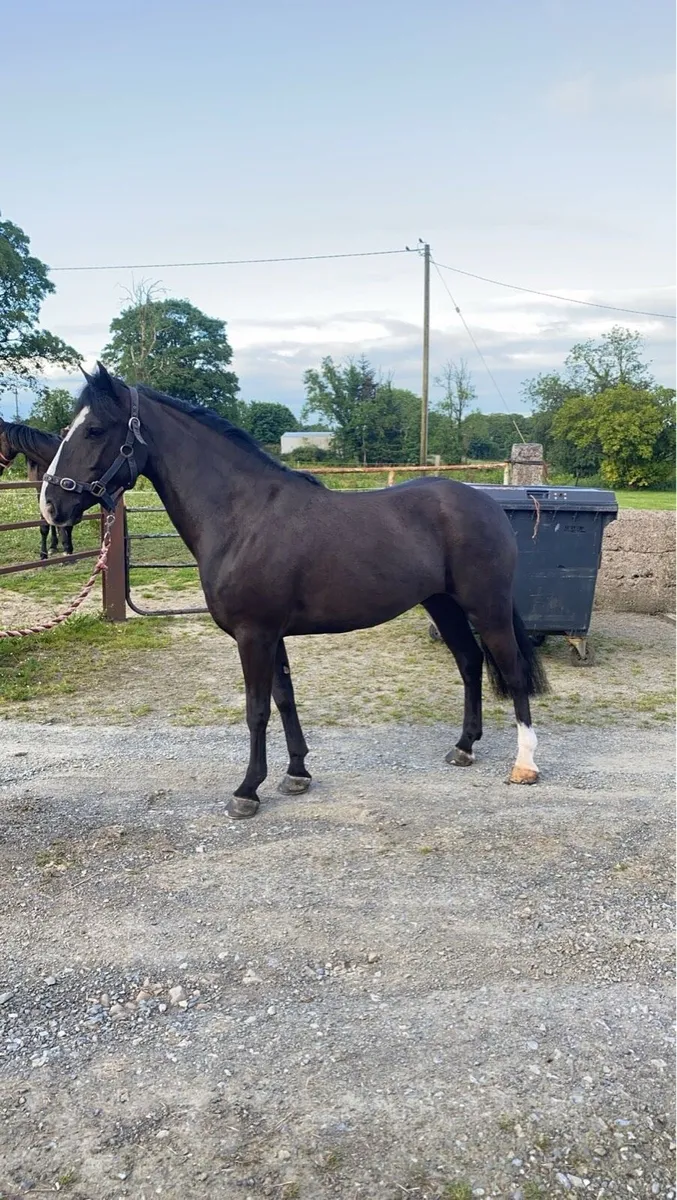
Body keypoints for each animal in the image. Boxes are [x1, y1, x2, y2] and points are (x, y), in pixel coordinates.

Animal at [41, 363, 548, 820]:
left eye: (95, 430)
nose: (50, 505)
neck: (242, 516)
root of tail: (486, 503)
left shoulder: (254, 635)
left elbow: (256, 710)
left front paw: (247, 791)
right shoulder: (272, 634)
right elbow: (284, 699)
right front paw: (297, 774)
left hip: (487, 606)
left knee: (512, 670)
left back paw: (524, 765)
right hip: (442, 605)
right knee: (469, 662)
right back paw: (463, 747)